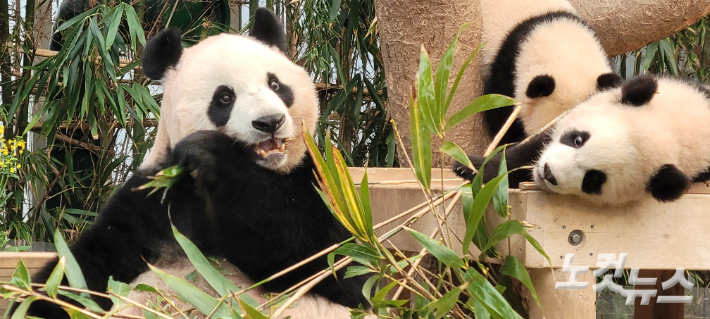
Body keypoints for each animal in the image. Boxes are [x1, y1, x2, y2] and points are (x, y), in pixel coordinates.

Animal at [19, 8, 370, 318]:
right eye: (225, 97)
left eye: (275, 84)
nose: (269, 122)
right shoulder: (154, 199)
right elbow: (85, 266)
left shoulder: (319, 180)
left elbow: (331, 261)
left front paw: (213, 155)